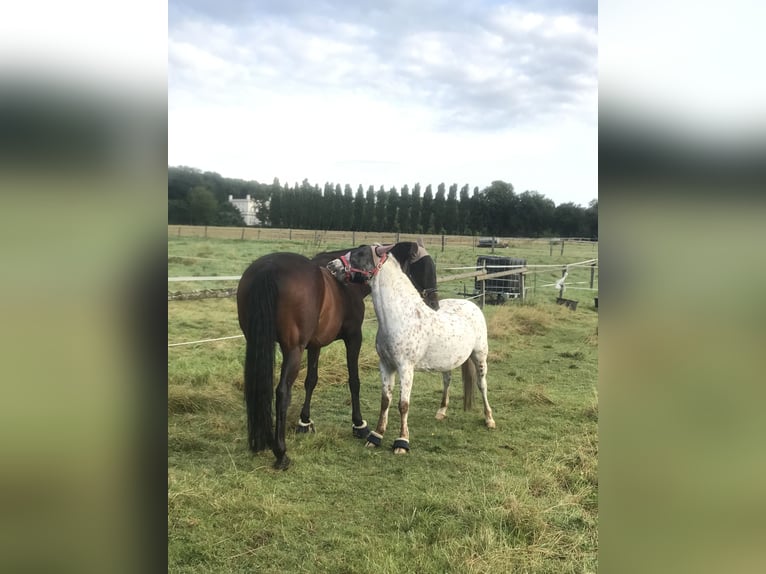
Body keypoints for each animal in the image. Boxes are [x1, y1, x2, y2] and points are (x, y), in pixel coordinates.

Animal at [237, 241, 436, 470]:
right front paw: (359, 425)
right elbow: (354, 381)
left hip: (255, 342)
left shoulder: (315, 344)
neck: (348, 285)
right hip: (293, 350)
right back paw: (280, 452)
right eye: (423, 267)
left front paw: (304, 421)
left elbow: (311, 381)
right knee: (282, 392)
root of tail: (269, 268)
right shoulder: (353, 338)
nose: (434, 303)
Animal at [326, 243, 498, 454]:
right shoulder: (386, 365)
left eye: (360, 254)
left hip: (480, 356)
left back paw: (489, 419)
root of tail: (472, 305)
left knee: (482, 385)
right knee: (447, 381)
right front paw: (376, 436)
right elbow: (385, 401)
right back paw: (441, 411)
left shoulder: (405, 368)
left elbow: (403, 404)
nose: (332, 266)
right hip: (448, 361)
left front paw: (402, 442)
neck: (401, 316)